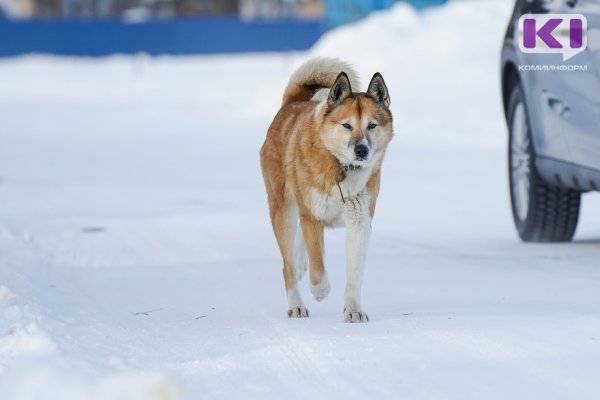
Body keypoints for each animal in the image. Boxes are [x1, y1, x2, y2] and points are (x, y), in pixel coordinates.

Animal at [258, 57, 394, 324]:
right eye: (347, 125)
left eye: (372, 125)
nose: (361, 150)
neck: (341, 167)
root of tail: (292, 103)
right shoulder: (312, 217)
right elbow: (319, 269)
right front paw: (320, 291)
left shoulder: (359, 223)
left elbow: (354, 277)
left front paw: (353, 310)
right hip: (283, 211)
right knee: (288, 266)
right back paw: (296, 304)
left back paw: (300, 261)